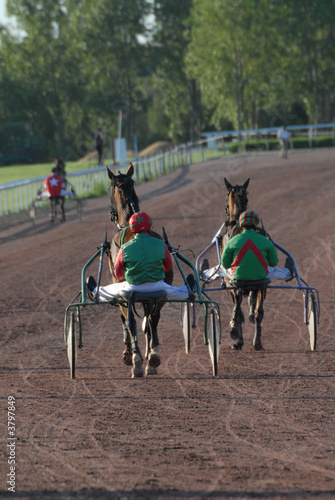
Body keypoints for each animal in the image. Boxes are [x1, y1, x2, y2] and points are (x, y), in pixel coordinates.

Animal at [106, 162, 175, 376]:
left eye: (109, 190)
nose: (111, 214)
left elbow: (127, 321)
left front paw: (130, 355)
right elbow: (148, 321)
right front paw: (149, 353)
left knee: (132, 320)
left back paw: (137, 360)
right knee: (153, 318)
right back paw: (153, 357)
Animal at [223, 178, 270, 350]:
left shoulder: (229, 282)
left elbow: (237, 307)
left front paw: (237, 335)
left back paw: (236, 333)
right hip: (262, 284)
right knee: (259, 312)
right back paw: (257, 341)